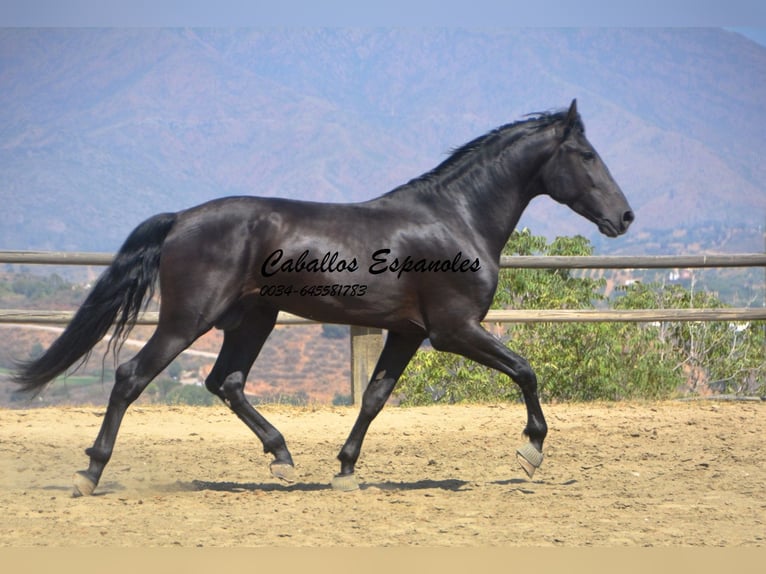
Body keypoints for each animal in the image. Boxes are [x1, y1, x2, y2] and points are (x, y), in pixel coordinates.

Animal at [13, 99, 636, 496]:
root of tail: (181, 219)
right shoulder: (453, 330)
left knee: (226, 383)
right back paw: (89, 474)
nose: (625, 217)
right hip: (189, 319)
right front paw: (531, 452)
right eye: (586, 155)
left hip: (254, 317)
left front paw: (345, 469)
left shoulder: (407, 332)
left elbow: (375, 398)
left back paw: (284, 459)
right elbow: (525, 370)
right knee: (131, 377)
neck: (455, 218)